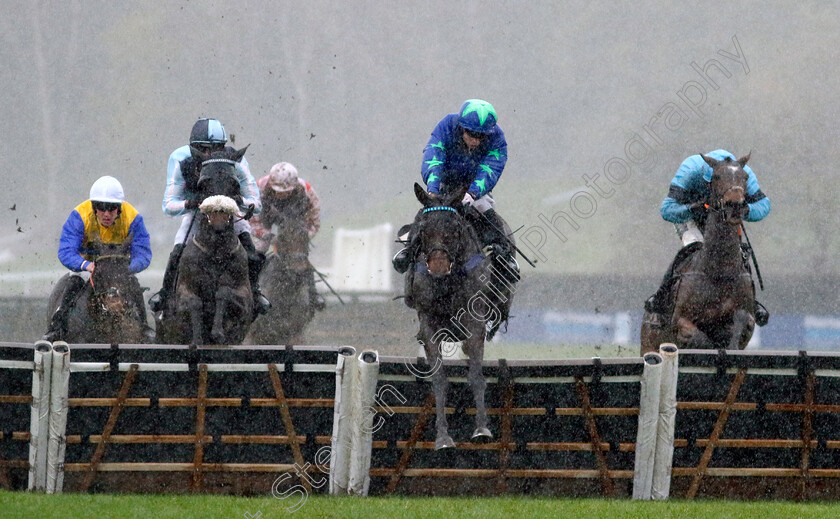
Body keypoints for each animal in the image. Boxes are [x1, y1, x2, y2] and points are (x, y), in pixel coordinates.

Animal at [406, 184, 512, 450]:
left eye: (454, 227)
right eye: (423, 228)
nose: (438, 267)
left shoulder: (475, 323)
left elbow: (475, 376)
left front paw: (482, 428)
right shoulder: (429, 324)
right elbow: (439, 380)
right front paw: (443, 437)